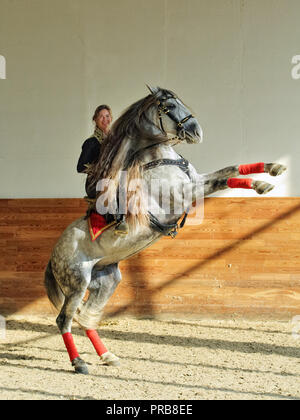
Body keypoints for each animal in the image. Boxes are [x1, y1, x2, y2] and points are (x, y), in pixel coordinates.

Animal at [44, 85, 286, 374]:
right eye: (168, 107)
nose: (197, 131)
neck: (160, 160)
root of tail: (53, 257)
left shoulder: (198, 180)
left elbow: (230, 168)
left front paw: (273, 168)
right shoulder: (186, 192)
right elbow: (224, 179)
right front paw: (261, 185)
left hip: (106, 281)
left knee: (86, 317)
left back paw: (107, 356)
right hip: (77, 283)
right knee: (65, 319)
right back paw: (79, 362)